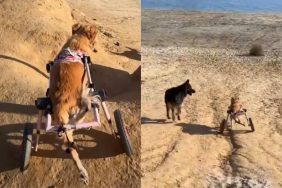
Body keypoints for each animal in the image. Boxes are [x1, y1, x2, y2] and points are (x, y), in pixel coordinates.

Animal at [48, 23, 97, 185]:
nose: (96, 48)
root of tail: (61, 105)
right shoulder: (86, 82)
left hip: (63, 126)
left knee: (72, 150)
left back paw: (82, 173)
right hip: (75, 110)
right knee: (82, 112)